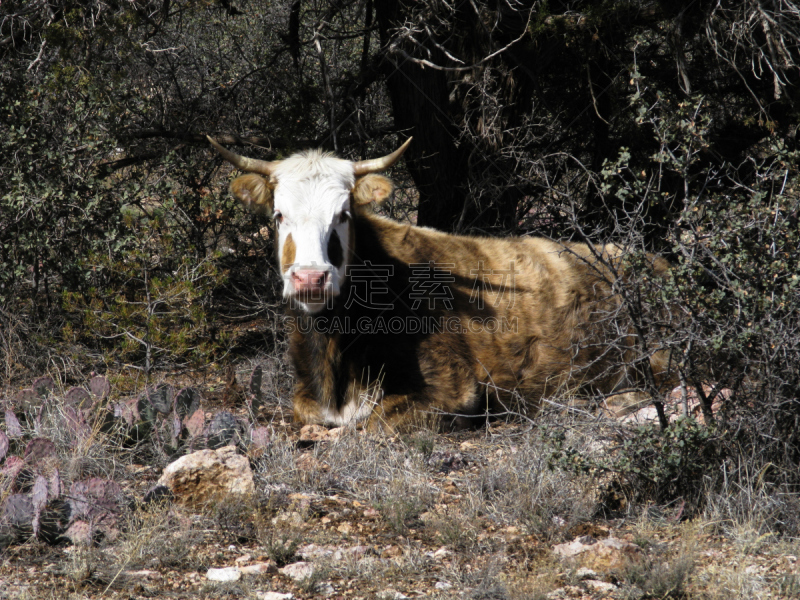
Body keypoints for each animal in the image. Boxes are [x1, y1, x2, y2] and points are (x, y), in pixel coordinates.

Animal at [209, 137, 672, 428]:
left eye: (343, 214)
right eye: (278, 215)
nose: (310, 278)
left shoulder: (457, 391)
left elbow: (373, 425)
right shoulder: (305, 395)